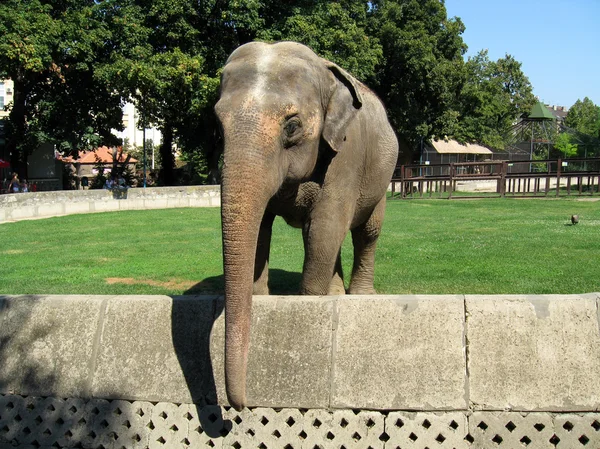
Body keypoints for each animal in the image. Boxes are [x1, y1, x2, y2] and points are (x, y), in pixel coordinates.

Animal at [216, 42, 398, 410]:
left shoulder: (346, 155)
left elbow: (326, 226)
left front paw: (310, 302)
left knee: (365, 232)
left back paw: (359, 295)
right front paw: (262, 298)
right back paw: (337, 293)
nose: (241, 405)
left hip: (381, 178)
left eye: (292, 126)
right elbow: (265, 230)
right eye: (217, 121)